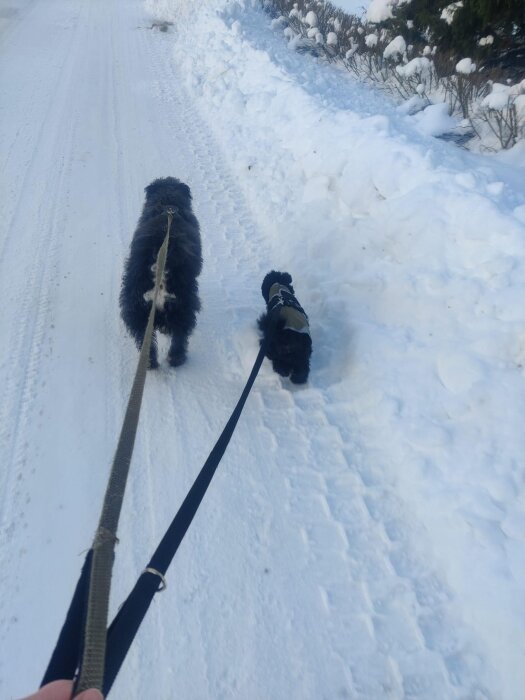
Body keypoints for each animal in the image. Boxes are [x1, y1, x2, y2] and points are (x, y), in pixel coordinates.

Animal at [119, 178, 202, 370]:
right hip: (184, 303)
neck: (168, 202)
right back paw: (176, 358)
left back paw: (150, 362)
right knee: (180, 334)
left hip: (137, 309)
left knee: (145, 340)